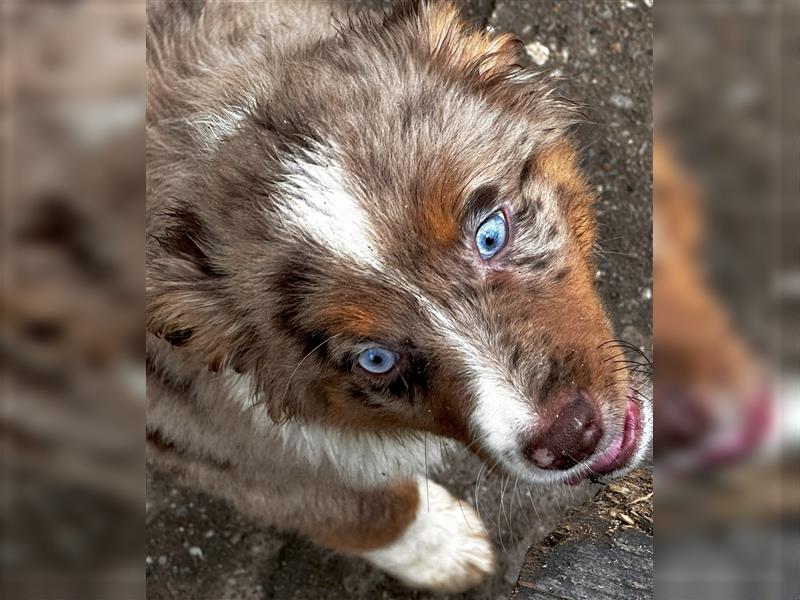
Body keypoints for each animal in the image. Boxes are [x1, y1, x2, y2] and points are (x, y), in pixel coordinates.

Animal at [145, 0, 648, 592]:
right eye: (376, 359)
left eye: (490, 233)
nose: (570, 439)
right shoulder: (198, 430)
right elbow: (355, 507)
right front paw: (449, 551)